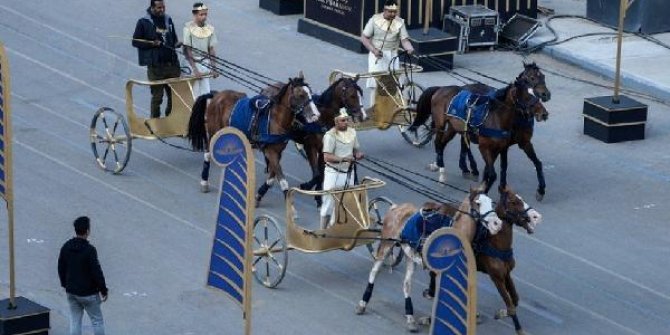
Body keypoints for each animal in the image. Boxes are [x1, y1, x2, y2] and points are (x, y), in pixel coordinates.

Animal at [186, 73, 318, 205]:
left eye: (310, 92)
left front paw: (258, 196)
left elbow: (272, 178)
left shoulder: (278, 152)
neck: (276, 119)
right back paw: (204, 182)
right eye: (301, 95)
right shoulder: (270, 151)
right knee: (208, 155)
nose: (315, 115)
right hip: (214, 132)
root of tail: (217, 95)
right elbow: (282, 180)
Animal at [356, 189, 504, 334]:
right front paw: (432, 319)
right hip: (386, 243)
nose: (497, 223)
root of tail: (396, 207)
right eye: (478, 203)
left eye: (491, 202)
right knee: (374, 271)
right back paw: (363, 302)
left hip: (409, 254)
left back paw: (410, 317)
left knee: (406, 284)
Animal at [414, 63, 552, 197]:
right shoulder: (485, 147)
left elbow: (530, 164)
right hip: (441, 124)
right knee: (439, 143)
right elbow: (494, 172)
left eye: (543, 77)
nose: (544, 113)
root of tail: (442, 88)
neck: (498, 117)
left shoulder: (512, 145)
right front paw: (485, 191)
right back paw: (443, 171)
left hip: (454, 128)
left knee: (447, 144)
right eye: (527, 95)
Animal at [478, 188, 544, 334]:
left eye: (522, 198)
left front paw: (501, 313)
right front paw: (519, 329)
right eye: (513, 201)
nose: (536, 217)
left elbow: (515, 300)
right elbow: (511, 306)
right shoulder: (497, 278)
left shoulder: (507, 273)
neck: (496, 244)